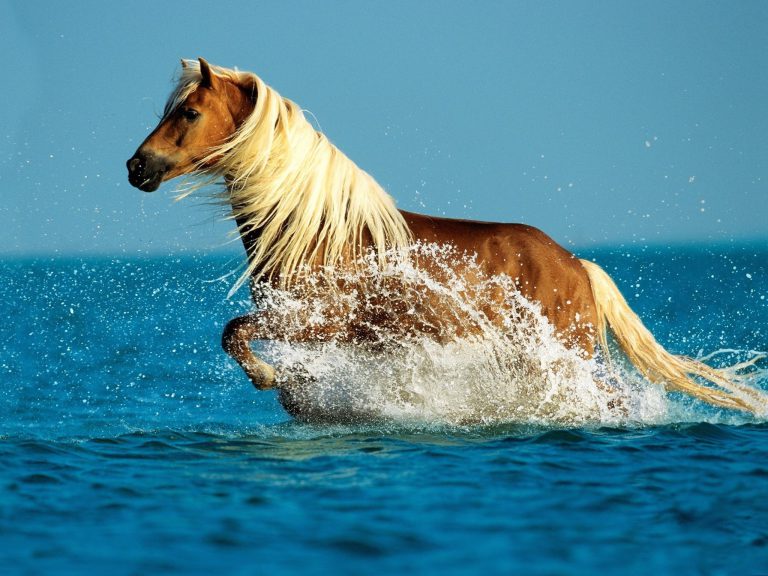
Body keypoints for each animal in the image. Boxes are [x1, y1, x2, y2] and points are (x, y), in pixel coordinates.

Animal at [126, 58, 764, 418]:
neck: (316, 232)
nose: (137, 167)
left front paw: (268, 377)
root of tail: (578, 265)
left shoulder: (314, 321)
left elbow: (234, 333)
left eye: (188, 113)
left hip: (567, 355)